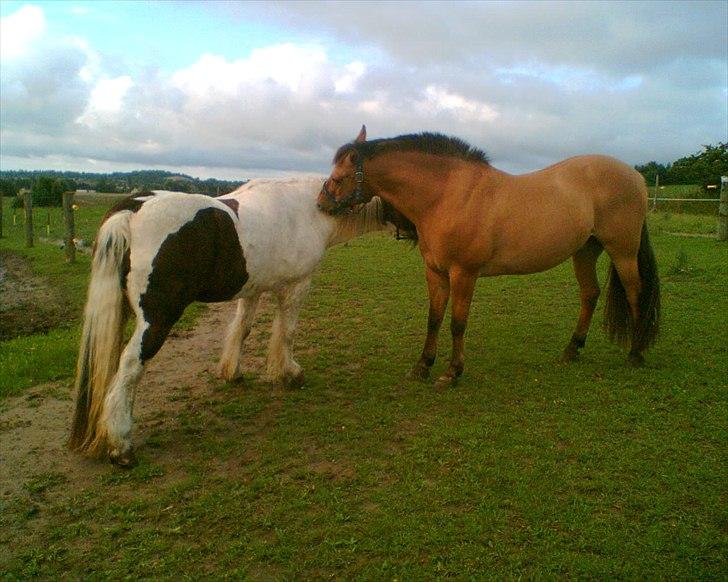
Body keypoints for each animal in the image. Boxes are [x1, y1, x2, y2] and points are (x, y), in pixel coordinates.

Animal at [318, 128, 660, 388]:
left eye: (339, 177)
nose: (321, 203)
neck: (448, 195)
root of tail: (636, 177)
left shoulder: (463, 273)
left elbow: (457, 323)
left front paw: (452, 372)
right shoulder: (435, 272)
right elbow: (433, 319)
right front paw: (423, 365)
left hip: (623, 252)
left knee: (635, 294)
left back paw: (635, 353)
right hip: (585, 251)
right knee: (590, 294)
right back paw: (571, 349)